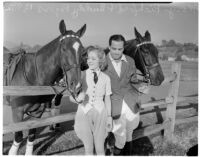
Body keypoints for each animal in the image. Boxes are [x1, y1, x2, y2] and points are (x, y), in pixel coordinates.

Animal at [6, 19, 86, 155]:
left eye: (82, 51)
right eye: (63, 49)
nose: (76, 85)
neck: (32, 75)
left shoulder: (36, 112)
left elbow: (31, 135)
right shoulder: (17, 111)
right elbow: (18, 137)